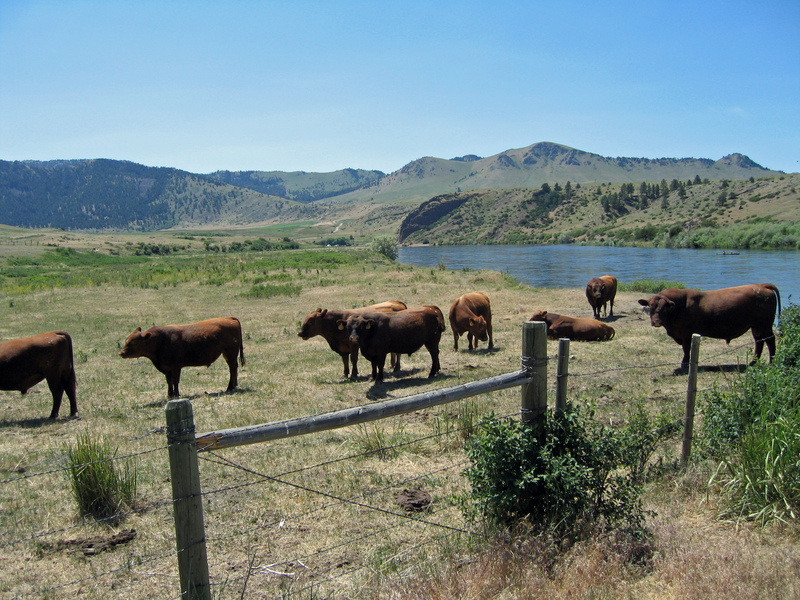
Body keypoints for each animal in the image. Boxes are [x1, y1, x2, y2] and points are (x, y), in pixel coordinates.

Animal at [636, 284, 780, 368]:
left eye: (665, 309)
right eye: (651, 307)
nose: (656, 321)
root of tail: (761, 286)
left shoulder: (687, 333)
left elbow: (686, 348)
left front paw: (685, 364)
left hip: (765, 325)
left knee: (770, 341)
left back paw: (771, 362)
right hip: (756, 327)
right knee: (759, 342)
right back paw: (753, 362)